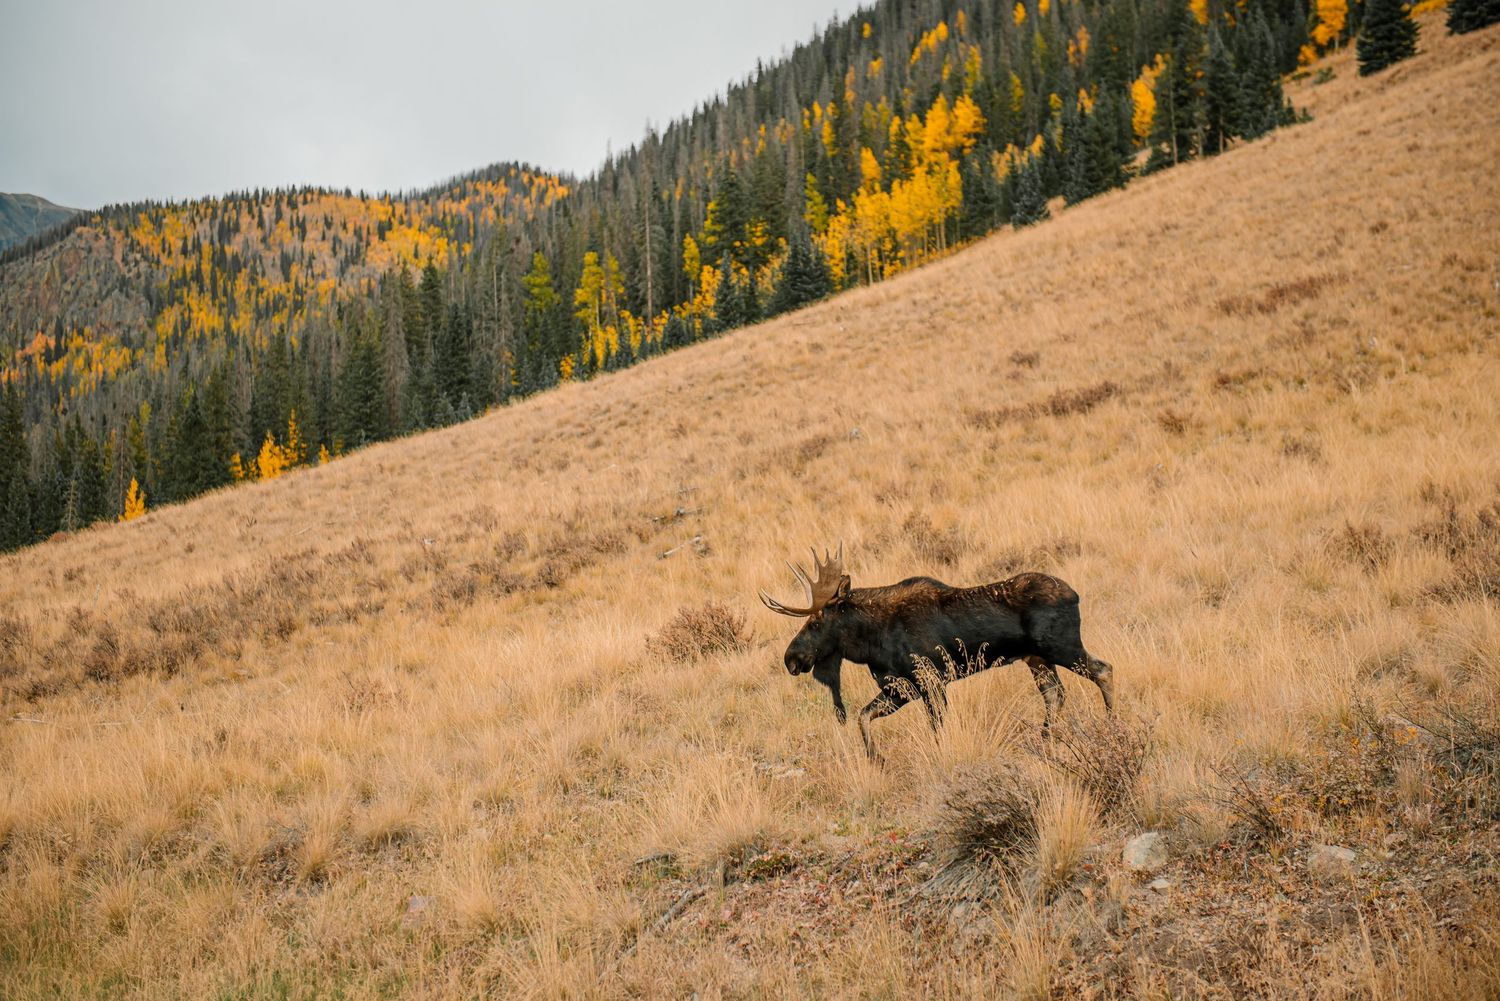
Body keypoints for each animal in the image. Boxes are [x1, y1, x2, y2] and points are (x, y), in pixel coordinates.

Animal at [759, 545, 1114, 762]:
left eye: (816, 622)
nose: (791, 659)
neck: (870, 639)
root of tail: (1076, 594)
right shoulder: (901, 688)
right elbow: (863, 716)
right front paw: (877, 759)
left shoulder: (930, 681)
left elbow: (936, 730)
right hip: (1037, 659)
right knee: (1055, 694)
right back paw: (1044, 739)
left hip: (1061, 647)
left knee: (1103, 670)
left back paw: (1111, 724)